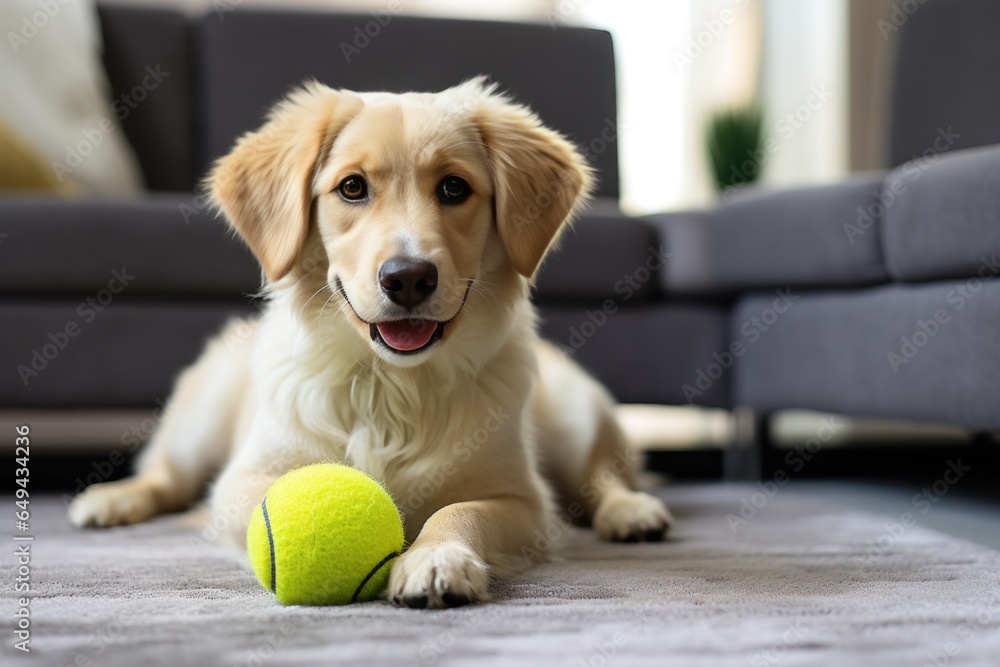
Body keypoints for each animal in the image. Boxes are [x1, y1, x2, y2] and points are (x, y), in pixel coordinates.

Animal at [68, 79, 672, 612]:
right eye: (352, 187)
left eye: (455, 188)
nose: (408, 277)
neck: (390, 384)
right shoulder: (243, 479)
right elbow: (259, 499)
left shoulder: (523, 501)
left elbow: (460, 511)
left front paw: (436, 559)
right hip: (202, 418)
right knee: (165, 476)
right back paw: (111, 500)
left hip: (576, 413)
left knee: (603, 477)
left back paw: (631, 512)